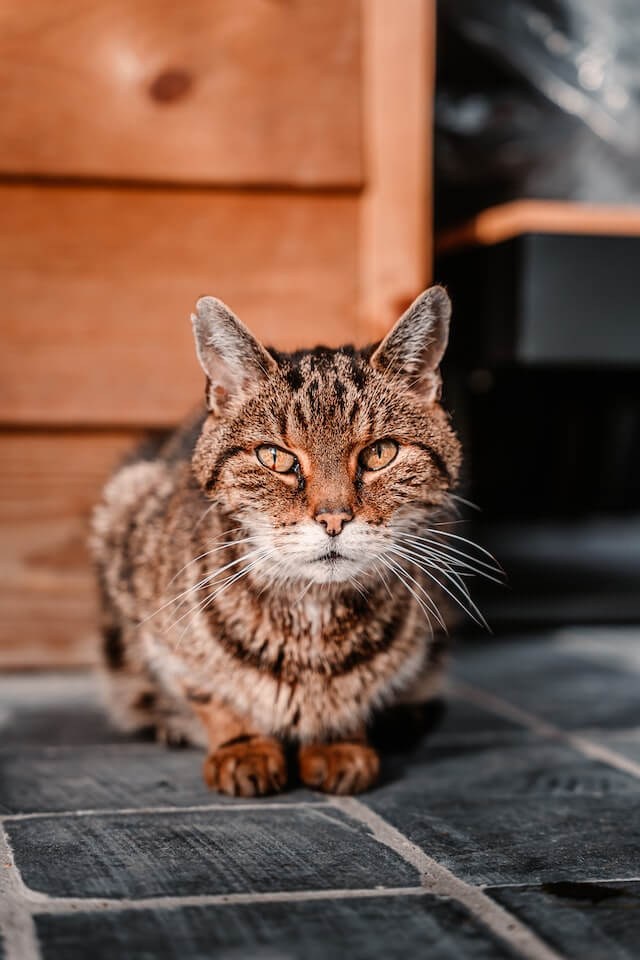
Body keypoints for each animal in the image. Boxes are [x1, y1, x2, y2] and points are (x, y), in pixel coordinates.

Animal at [91, 284, 490, 796]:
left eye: (380, 453)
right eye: (276, 458)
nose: (334, 518)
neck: (314, 616)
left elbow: (360, 693)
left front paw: (339, 740)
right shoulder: (148, 604)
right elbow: (207, 690)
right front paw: (242, 745)